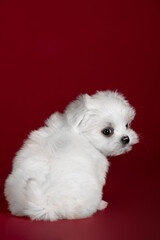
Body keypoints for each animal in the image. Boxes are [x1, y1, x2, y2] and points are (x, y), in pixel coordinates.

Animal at [4, 90, 138, 221]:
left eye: (127, 125)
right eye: (107, 131)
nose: (126, 139)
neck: (81, 133)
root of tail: (46, 206)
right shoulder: (99, 167)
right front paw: (101, 204)